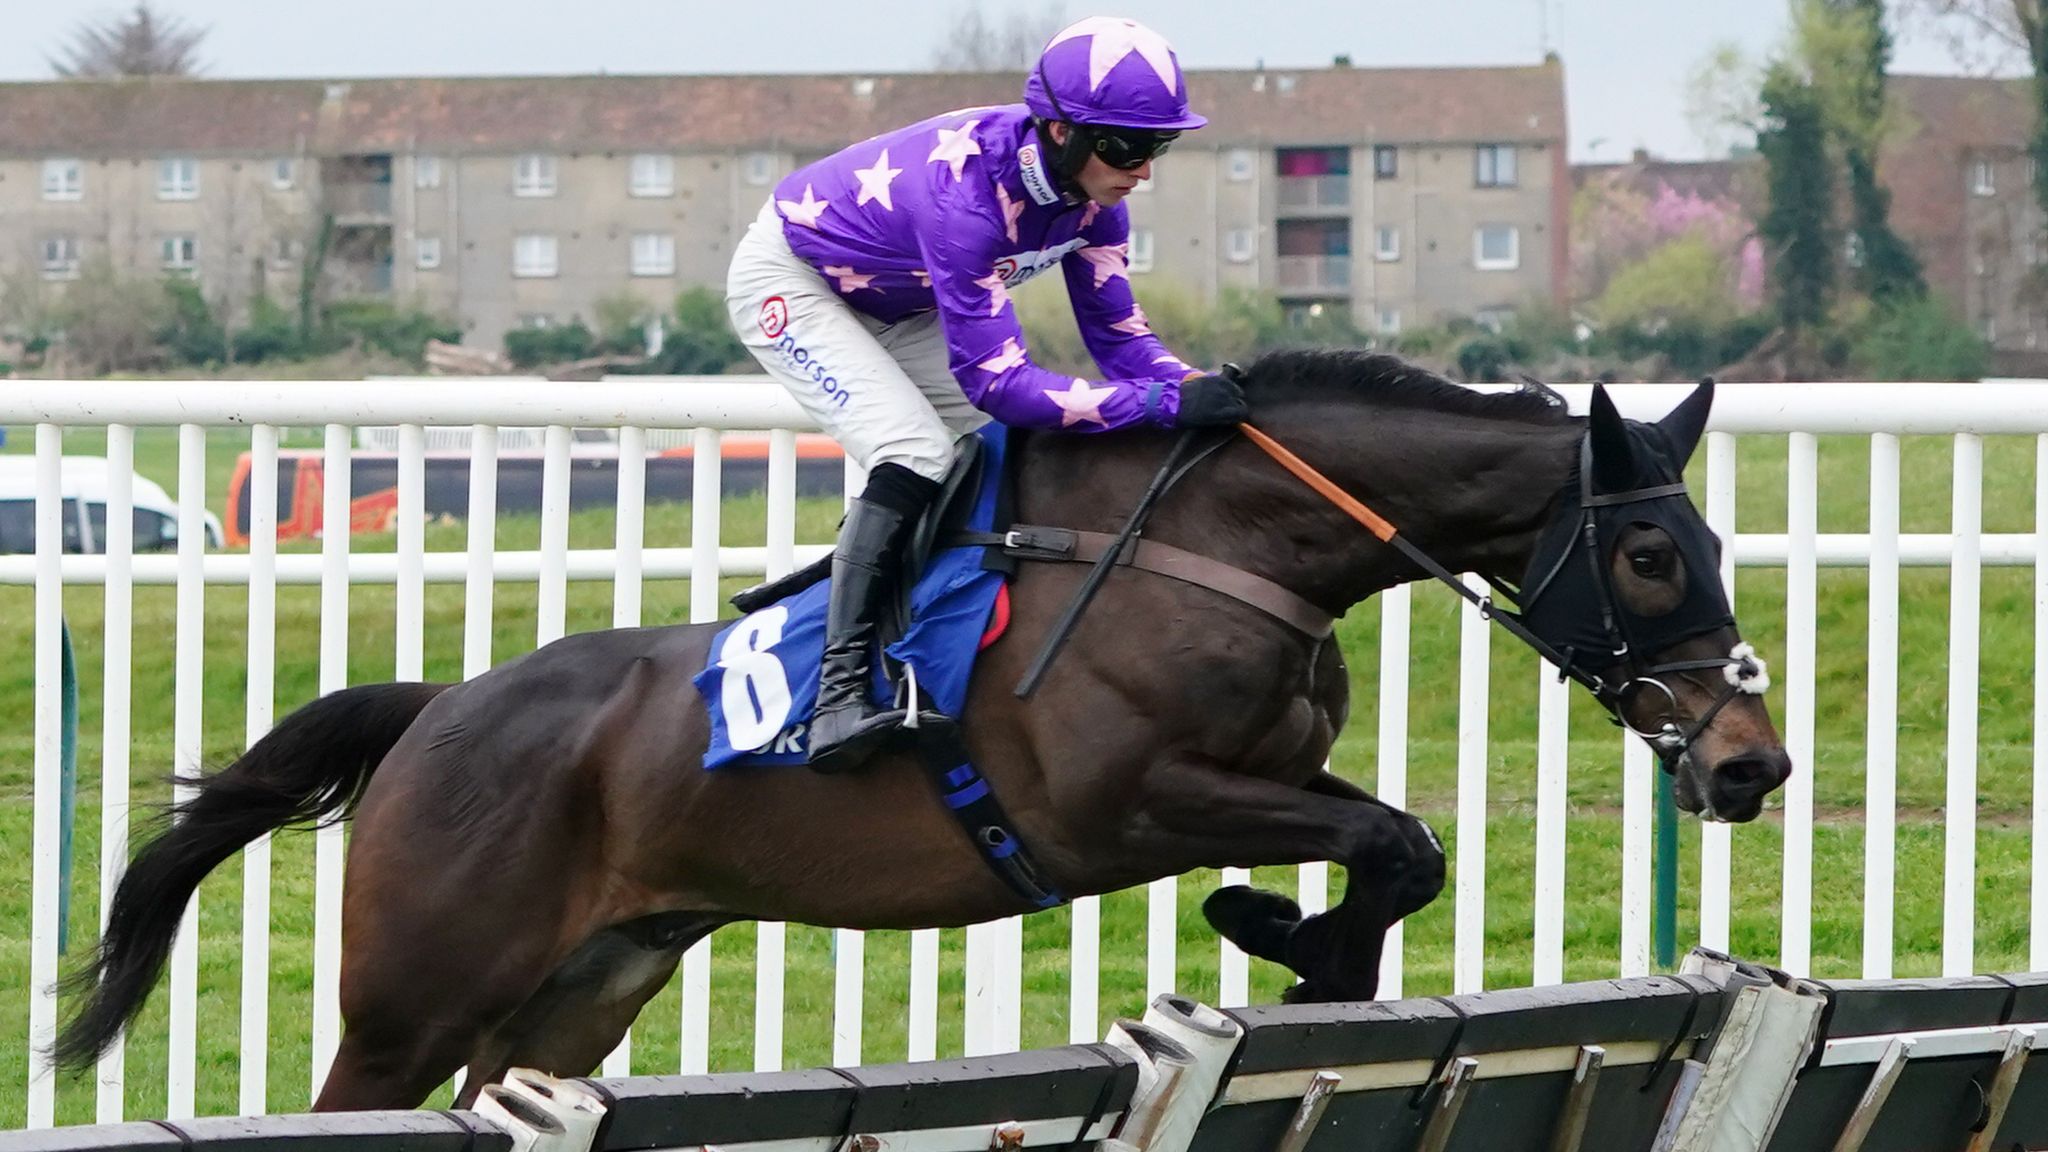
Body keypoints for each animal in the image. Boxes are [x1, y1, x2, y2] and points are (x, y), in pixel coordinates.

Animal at [51, 348, 1794, 1106]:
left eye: (1711, 541)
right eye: (1653, 554)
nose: (1749, 761)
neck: (1221, 539)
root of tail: (439, 715)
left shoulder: (1266, 773)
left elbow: (1395, 849)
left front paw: (1302, 947)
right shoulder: (1118, 805)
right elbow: (1394, 838)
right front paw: (1280, 933)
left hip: (574, 996)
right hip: (411, 1003)